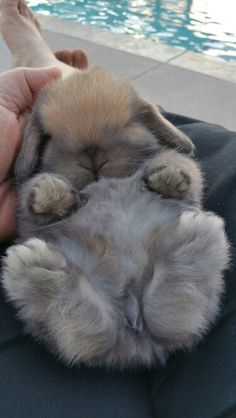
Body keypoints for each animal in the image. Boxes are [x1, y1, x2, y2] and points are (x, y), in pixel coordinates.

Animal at [2, 145, 229, 368]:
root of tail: (134, 334)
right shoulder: (28, 220)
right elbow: (34, 192)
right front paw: (50, 191)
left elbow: (180, 163)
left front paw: (170, 176)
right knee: (86, 332)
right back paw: (38, 269)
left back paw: (191, 233)